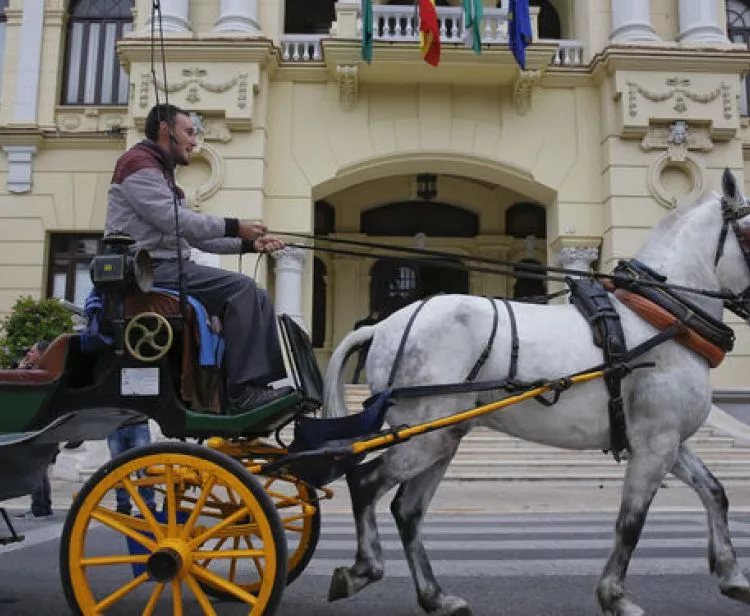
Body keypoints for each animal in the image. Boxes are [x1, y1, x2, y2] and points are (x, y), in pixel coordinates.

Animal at [326, 168, 750, 616]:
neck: (660, 318)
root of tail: (383, 326)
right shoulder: (655, 445)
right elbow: (631, 522)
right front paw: (614, 595)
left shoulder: (668, 440)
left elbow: (715, 492)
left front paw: (733, 575)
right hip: (423, 436)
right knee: (365, 483)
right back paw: (363, 569)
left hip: (441, 437)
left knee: (407, 510)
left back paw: (436, 596)